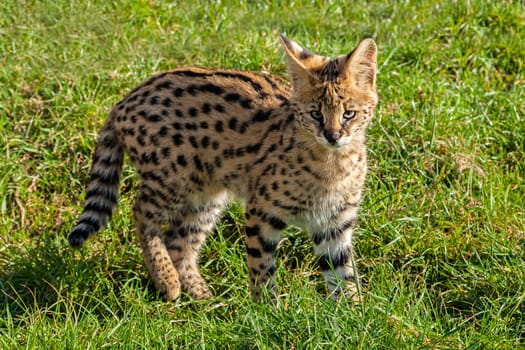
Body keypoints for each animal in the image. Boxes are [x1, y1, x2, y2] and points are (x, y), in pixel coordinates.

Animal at [69, 34, 378, 300]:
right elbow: (262, 271)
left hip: (207, 196)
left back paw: (200, 295)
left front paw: (350, 315)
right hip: (172, 177)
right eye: (316, 114)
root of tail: (123, 101)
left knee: (179, 241)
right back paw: (167, 280)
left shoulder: (335, 223)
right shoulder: (261, 212)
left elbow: (343, 276)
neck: (333, 164)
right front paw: (266, 315)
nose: (332, 135)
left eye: (348, 114)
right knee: (142, 213)